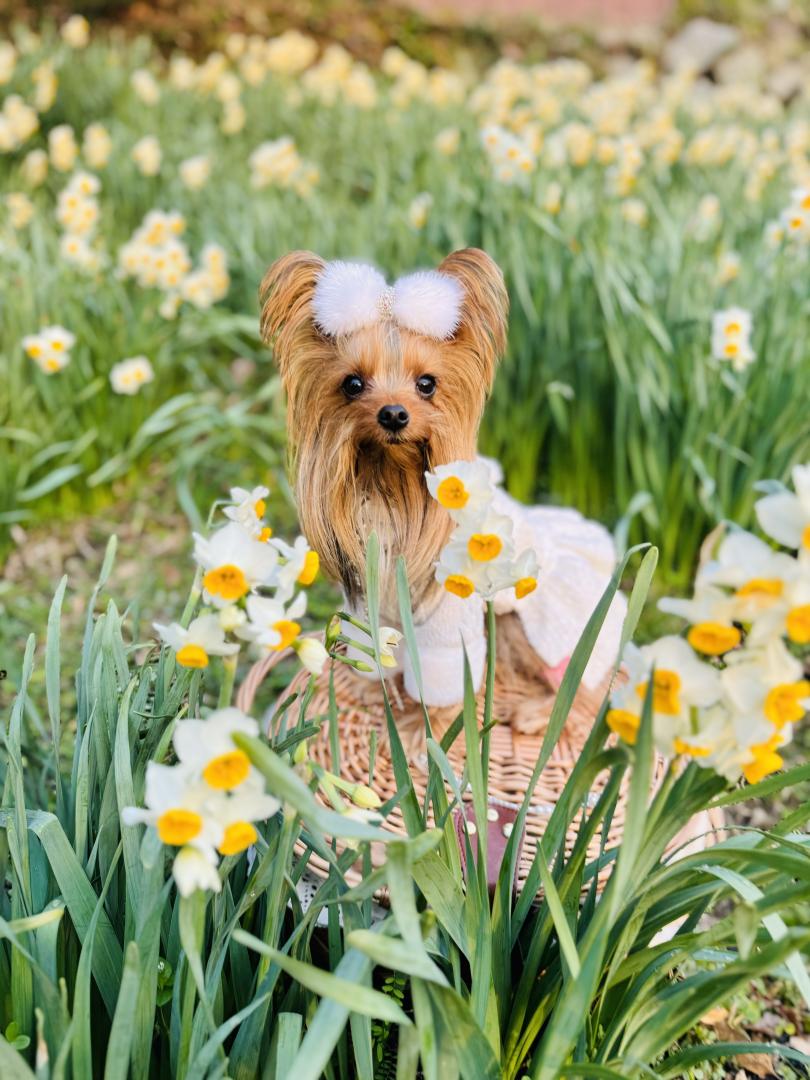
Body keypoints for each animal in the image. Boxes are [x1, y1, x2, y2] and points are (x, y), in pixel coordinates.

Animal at [263, 247, 626, 734]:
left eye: (427, 383)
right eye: (352, 384)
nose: (394, 414)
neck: (390, 487)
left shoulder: (449, 625)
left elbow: (442, 682)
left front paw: (426, 730)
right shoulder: (369, 606)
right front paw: (370, 691)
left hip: (541, 619)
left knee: (583, 685)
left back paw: (535, 714)